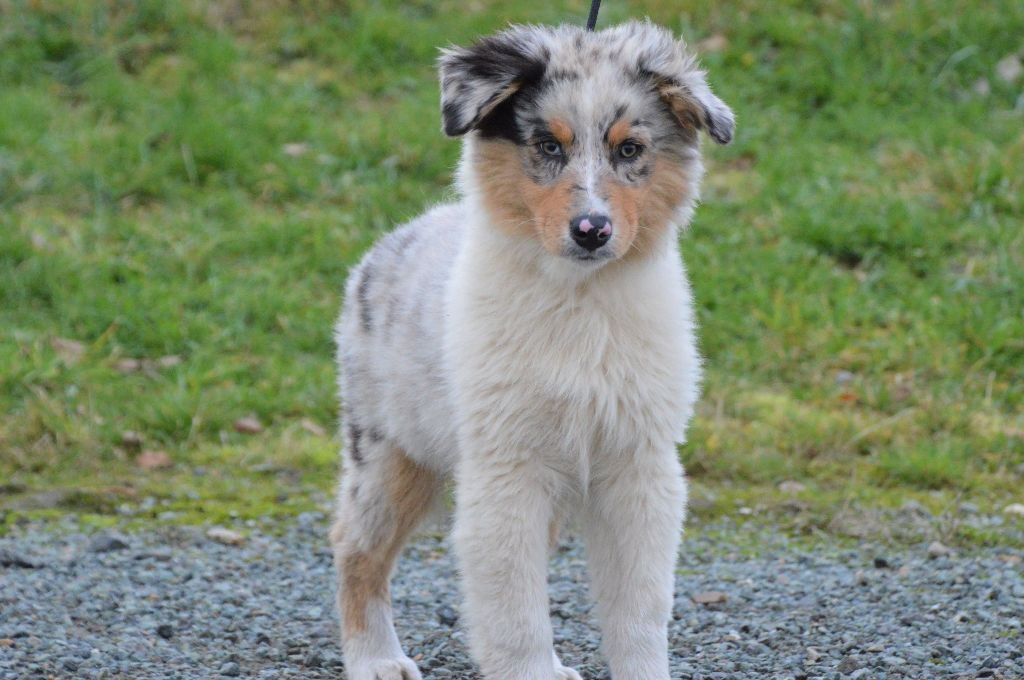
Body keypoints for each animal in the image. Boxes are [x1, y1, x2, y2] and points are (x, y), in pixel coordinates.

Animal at [331, 18, 733, 675]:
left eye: (629, 150)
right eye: (547, 145)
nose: (592, 230)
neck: (580, 302)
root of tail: (401, 235)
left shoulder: (638, 467)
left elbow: (638, 612)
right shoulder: (506, 469)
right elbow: (513, 614)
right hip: (390, 452)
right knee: (357, 549)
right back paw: (377, 660)